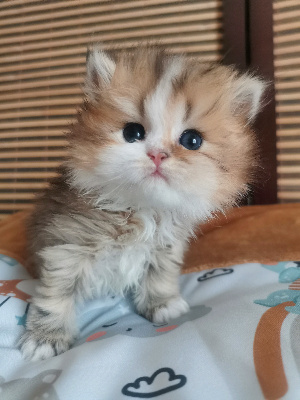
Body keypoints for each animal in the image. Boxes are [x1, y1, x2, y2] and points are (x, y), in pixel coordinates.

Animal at [20, 45, 264, 360]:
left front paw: (164, 304)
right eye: (133, 133)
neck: (141, 208)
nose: (158, 154)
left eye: (192, 140)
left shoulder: (166, 248)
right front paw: (45, 337)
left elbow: (159, 276)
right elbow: (55, 295)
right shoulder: (66, 244)